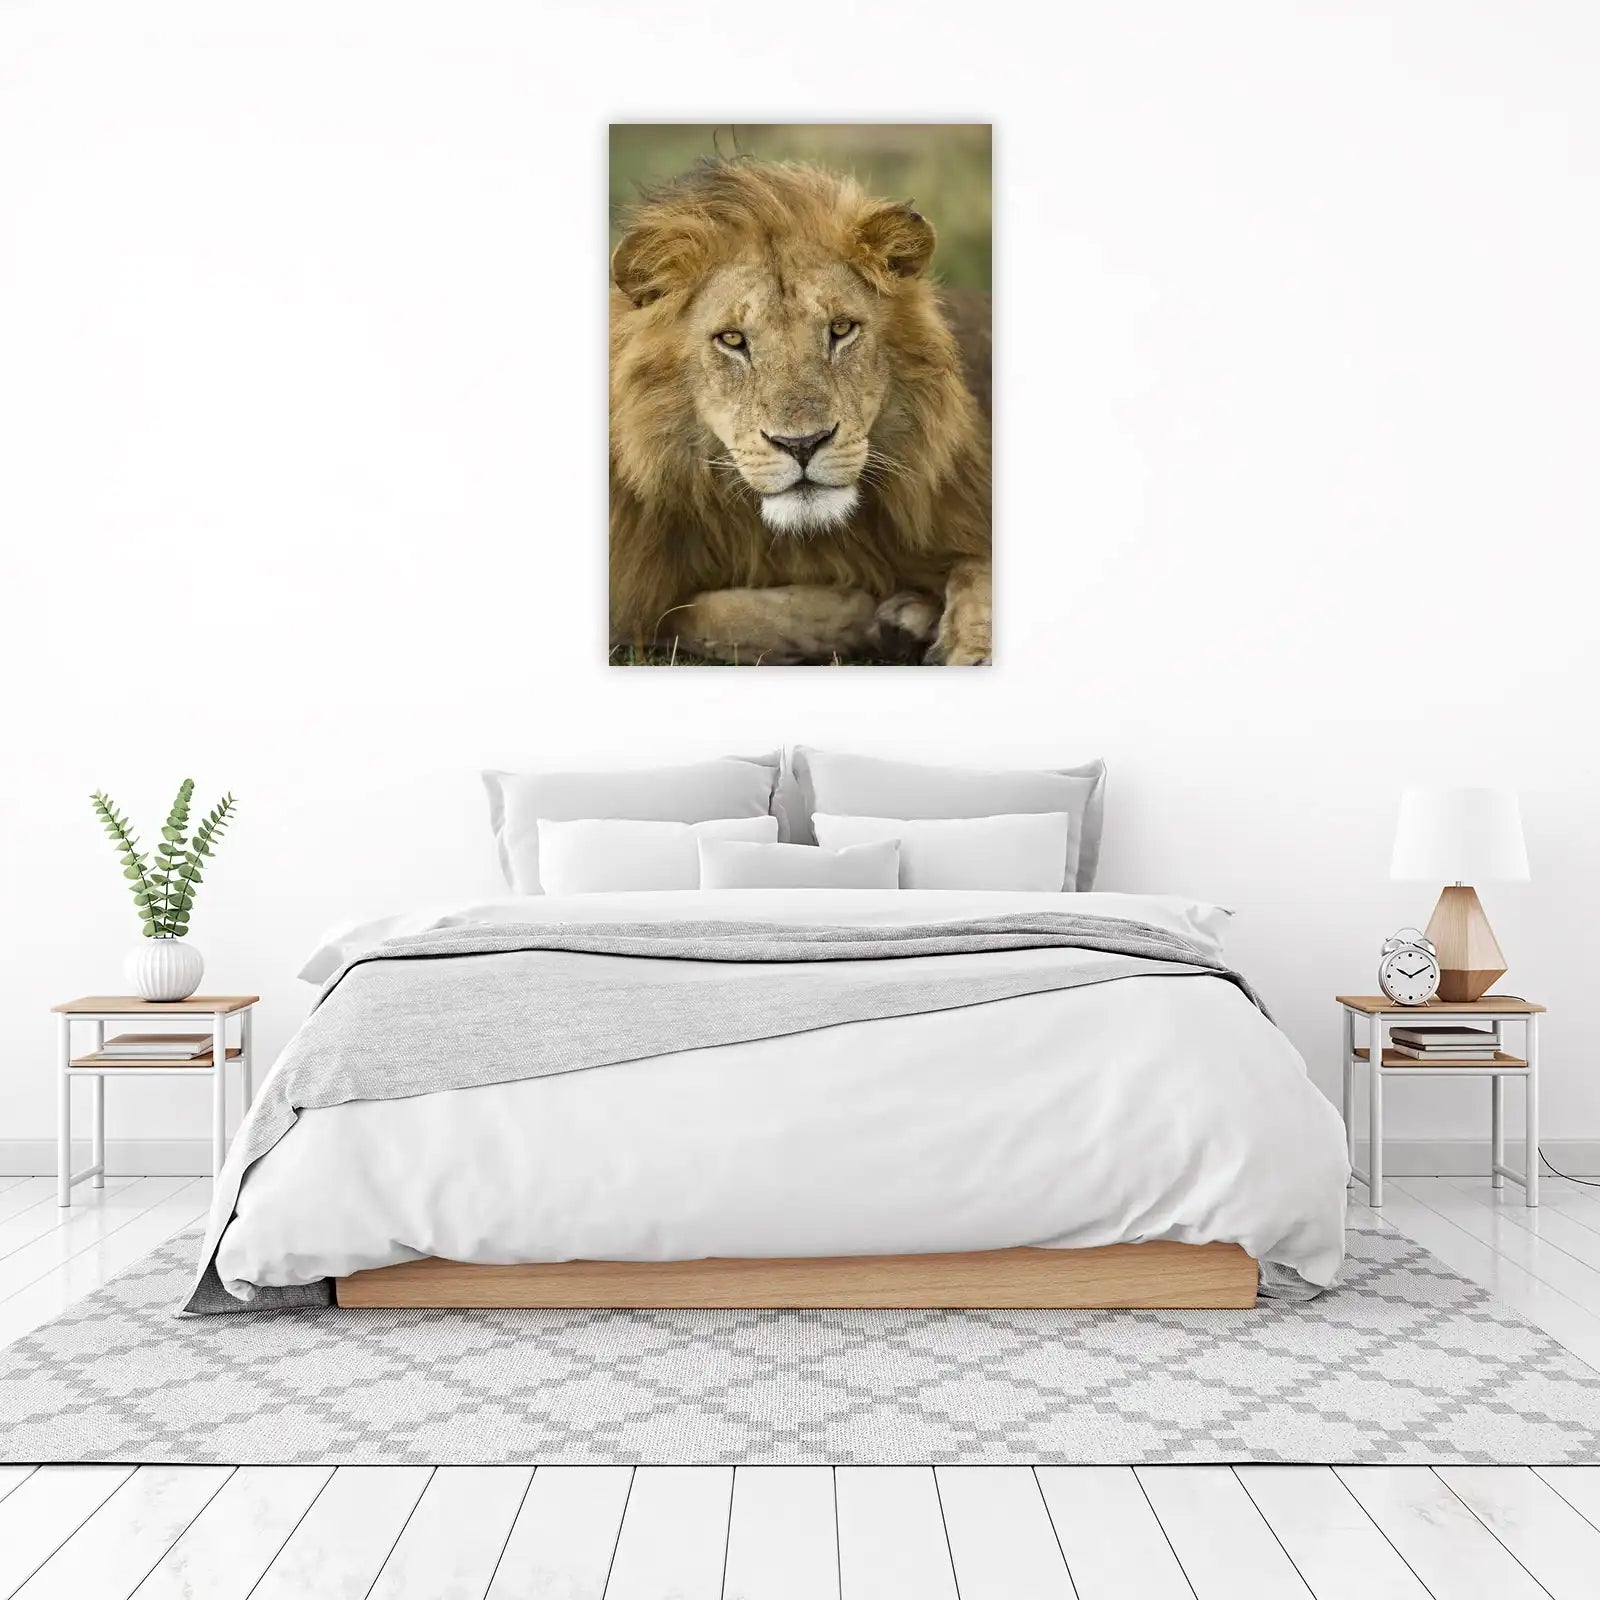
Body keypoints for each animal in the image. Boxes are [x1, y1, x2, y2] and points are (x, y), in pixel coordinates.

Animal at [609, 158, 992, 665]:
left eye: (842, 329)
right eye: (732, 339)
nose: (802, 444)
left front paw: (966, 642)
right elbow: (702, 614)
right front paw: (863, 612)